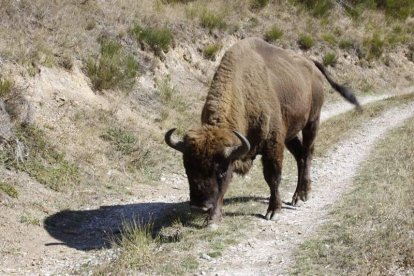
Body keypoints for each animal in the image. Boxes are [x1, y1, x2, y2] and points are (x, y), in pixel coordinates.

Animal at [165, 37, 360, 226]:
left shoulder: (272, 145)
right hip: (290, 134)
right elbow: (225, 188)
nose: (199, 206)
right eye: (187, 169)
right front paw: (213, 219)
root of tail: (311, 64)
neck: (244, 91)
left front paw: (274, 211)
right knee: (300, 156)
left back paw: (302, 195)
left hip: (312, 121)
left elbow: (273, 177)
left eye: (220, 170)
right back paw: (296, 195)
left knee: (308, 154)